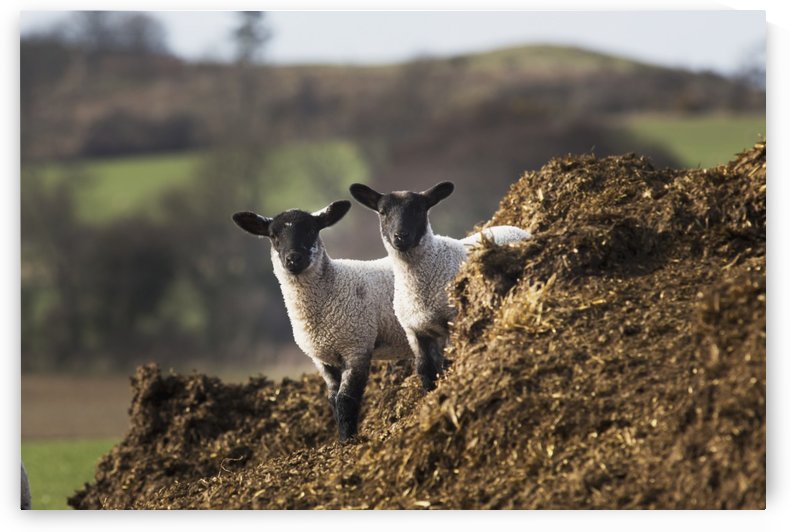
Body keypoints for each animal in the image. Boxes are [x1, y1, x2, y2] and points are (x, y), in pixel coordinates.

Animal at [232, 200, 412, 442]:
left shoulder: (356, 347)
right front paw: (342, 438)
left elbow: (346, 398)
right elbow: (332, 399)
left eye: (311, 230)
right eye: (273, 235)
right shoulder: (322, 358)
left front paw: (347, 442)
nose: (293, 259)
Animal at [350, 181, 531, 390]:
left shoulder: (451, 319)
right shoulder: (416, 333)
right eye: (382, 211)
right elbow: (425, 370)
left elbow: (448, 363)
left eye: (419, 209)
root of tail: (512, 227)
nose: (400, 237)